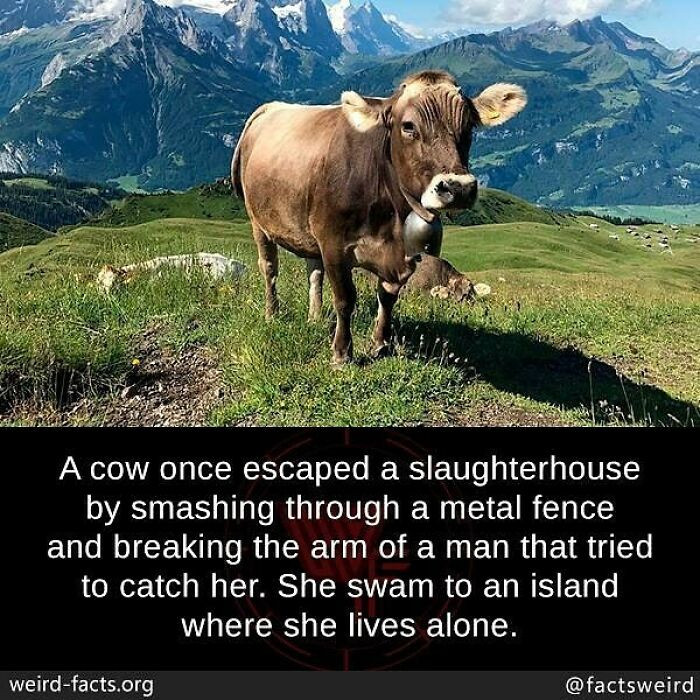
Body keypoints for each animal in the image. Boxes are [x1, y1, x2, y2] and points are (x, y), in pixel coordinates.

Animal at [232, 70, 526, 365]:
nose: (459, 188)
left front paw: (380, 344)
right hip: (258, 221)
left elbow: (387, 297)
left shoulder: (404, 254)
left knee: (313, 272)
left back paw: (314, 318)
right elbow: (345, 298)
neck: (390, 219)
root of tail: (270, 108)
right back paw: (272, 314)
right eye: (408, 126)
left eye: (469, 126)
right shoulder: (333, 243)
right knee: (269, 268)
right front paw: (342, 353)